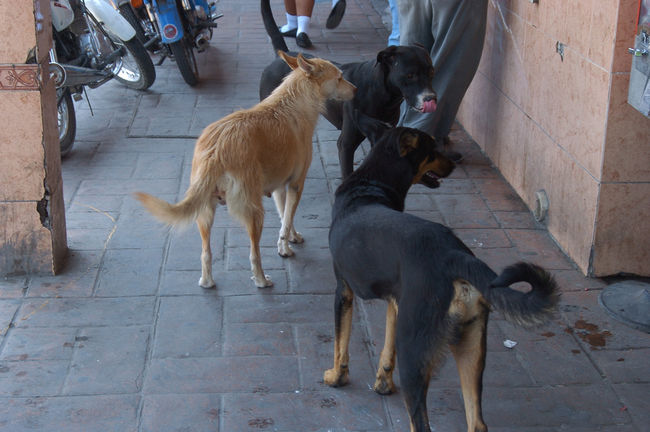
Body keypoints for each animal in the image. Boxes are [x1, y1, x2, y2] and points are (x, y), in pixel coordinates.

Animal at [135, 52, 356, 288]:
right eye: (340, 77)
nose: (356, 90)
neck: (295, 100)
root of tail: (215, 151)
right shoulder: (296, 184)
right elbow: (286, 221)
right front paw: (284, 248)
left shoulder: (279, 188)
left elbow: (285, 218)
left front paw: (291, 238)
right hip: (254, 212)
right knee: (253, 253)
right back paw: (261, 280)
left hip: (204, 212)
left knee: (206, 253)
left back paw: (207, 281)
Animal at [259, 0, 437, 177]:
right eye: (410, 75)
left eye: (431, 72)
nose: (431, 98)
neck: (381, 94)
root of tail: (284, 54)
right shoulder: (345, 144)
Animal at [324, 112, 560, 432]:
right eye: (432, 150)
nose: (454, 163)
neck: (370, 184)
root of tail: (452, 255)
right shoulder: (395, 302)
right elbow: (386, 349)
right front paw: (383, 382)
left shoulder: (343, 291)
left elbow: (341, 344)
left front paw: (337, 377)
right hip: (471, 346)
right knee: (477, 423)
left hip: (415, 353)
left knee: (421, 423)